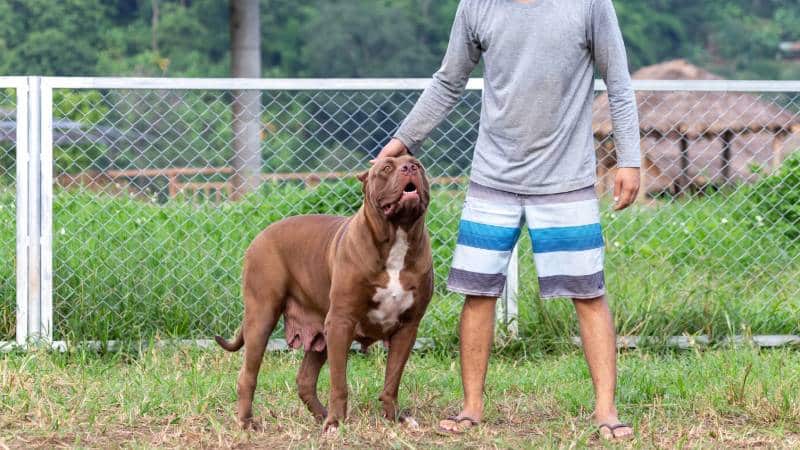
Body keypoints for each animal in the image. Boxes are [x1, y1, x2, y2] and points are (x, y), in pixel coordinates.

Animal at [216, 156, 434, 432]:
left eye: (418, 165)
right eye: (386, 168)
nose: (409, 168)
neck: (397, 238)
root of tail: (261, 235)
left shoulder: (407, 327)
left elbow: (392, 380)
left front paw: (394, 417)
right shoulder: (342, 322)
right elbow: (339, 382)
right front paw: (336, 422)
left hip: (318, 332)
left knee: (305, 380)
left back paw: (320, 415)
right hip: (262, 317)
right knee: (248, 375)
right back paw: (248, 422)